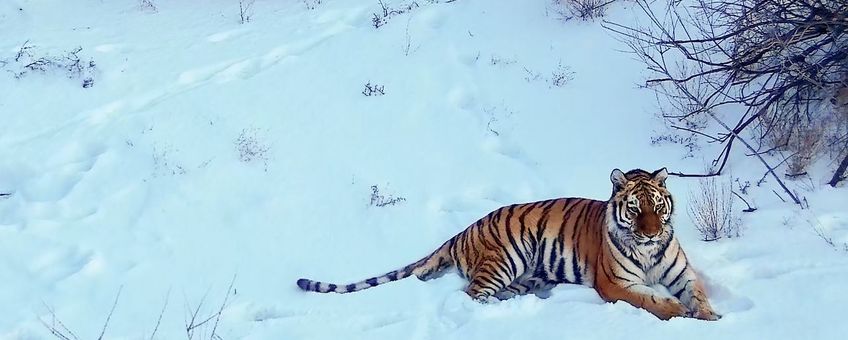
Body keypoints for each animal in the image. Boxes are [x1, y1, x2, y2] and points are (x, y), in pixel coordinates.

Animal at [294, 169, 720, 320]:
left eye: (657, 206)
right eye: (634, 209)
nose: (650, 232)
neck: (648, 250)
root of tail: (462, 231)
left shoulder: (683, 273)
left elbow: (697, 292)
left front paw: (709, 316)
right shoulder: (615, 283)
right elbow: (650, 300)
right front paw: (677, 312)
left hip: (530, 273)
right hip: (506, 258)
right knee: (470, 295)